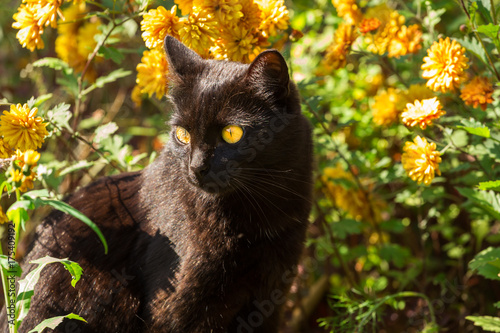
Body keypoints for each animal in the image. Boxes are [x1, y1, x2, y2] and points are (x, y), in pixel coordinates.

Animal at [4, 35, 312, 330]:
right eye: (183, 135)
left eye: (232, 133)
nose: (196, 167)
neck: (254, 214)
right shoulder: (174, 306)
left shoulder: (269, 298)